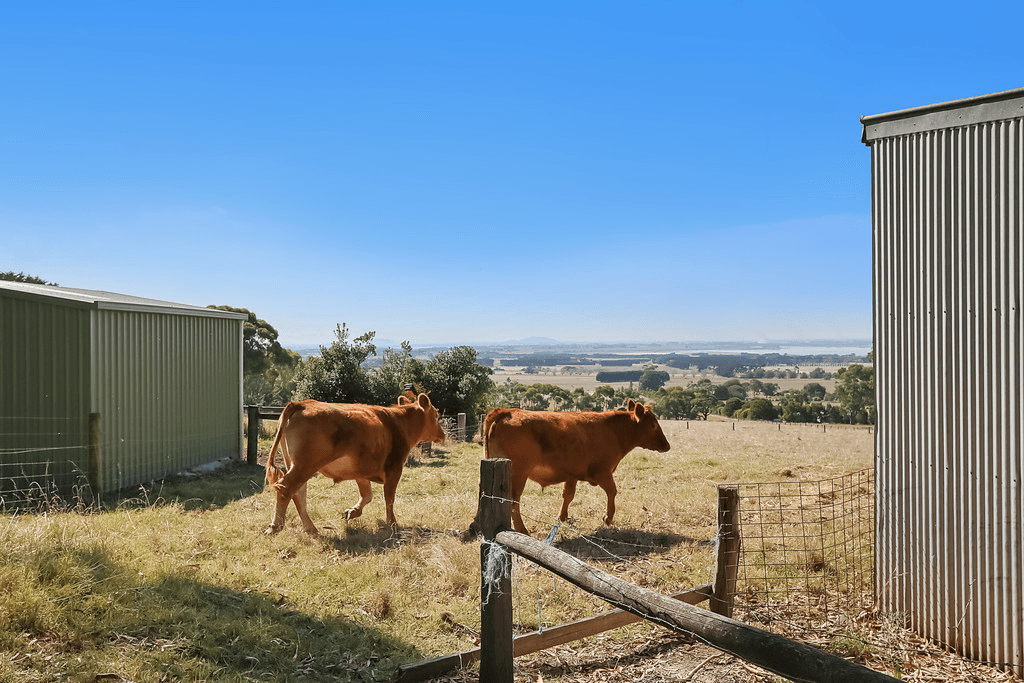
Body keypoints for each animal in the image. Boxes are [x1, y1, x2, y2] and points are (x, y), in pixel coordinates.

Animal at [264, 395, 444, 532]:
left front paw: (352, 512)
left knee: (298, 492)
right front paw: (392, 523)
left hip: (295, 464)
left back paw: (311, 528)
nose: (442, 435)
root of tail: (301, 403)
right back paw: (276, 526)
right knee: (287, 488)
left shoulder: (361, 471)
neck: (398, 422)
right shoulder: (394, 469)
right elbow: (389, 499)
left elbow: (367, 495)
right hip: (305, 465)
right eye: (436, 415)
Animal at [481, 397, 671, 536]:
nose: (667, 445)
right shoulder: (602, 472)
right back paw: (522, 530)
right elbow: (612, 491)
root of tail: (507, 412)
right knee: (513, 500)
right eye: (653, 425)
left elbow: (568, 496)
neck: (612, 431)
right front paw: (608, 517)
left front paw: (563, 517)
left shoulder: (571, 475)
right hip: (518, 474)